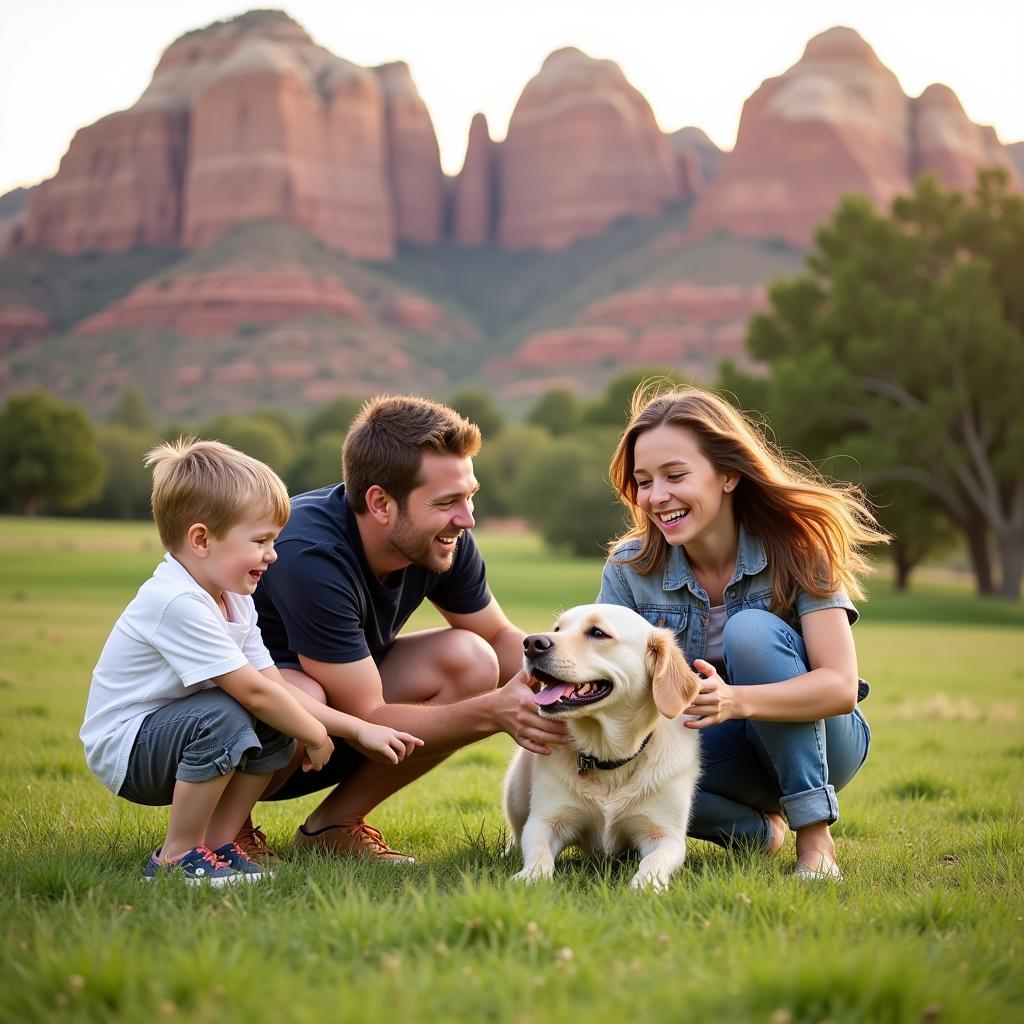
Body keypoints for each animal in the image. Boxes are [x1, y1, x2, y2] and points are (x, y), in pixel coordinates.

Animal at [505, 602, 704, 892]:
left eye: (598, 632)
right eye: (557, 629)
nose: (531, 643)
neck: (607, 756)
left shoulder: (665, 834)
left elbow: (654, 860)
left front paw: (646, 884)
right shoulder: (546, 821)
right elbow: (539, 853)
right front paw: (529, 877)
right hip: (515, 791)